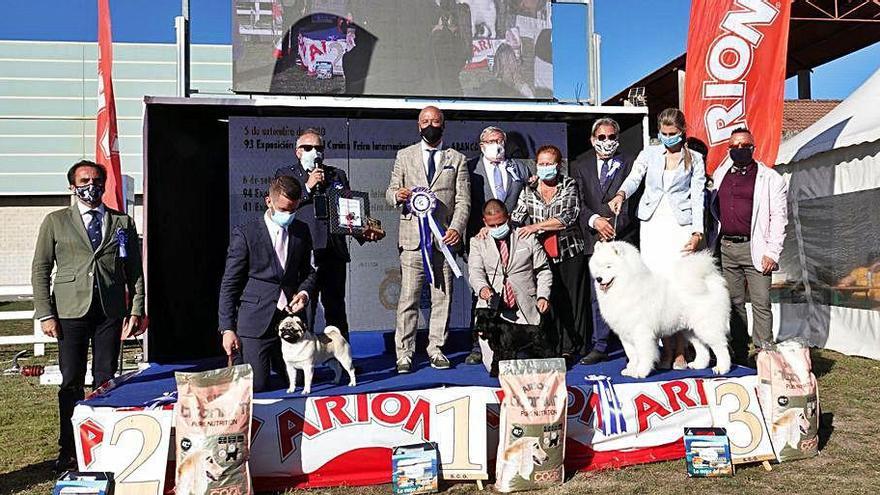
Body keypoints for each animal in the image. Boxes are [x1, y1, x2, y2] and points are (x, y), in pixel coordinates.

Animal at [588, 241, 732, 380]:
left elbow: (643, 354)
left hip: (706, 326)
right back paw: (699, 365)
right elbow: (632, 355)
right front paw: (630, 370)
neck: (627, 285)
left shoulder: (641, 332)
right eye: (598, 266)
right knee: (702, 347)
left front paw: (640, 372)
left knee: (720, 347)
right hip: (691, 330)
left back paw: (722, 368)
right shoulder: (625, 334)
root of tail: (710, 280)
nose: (599, 279)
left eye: (609, 266)